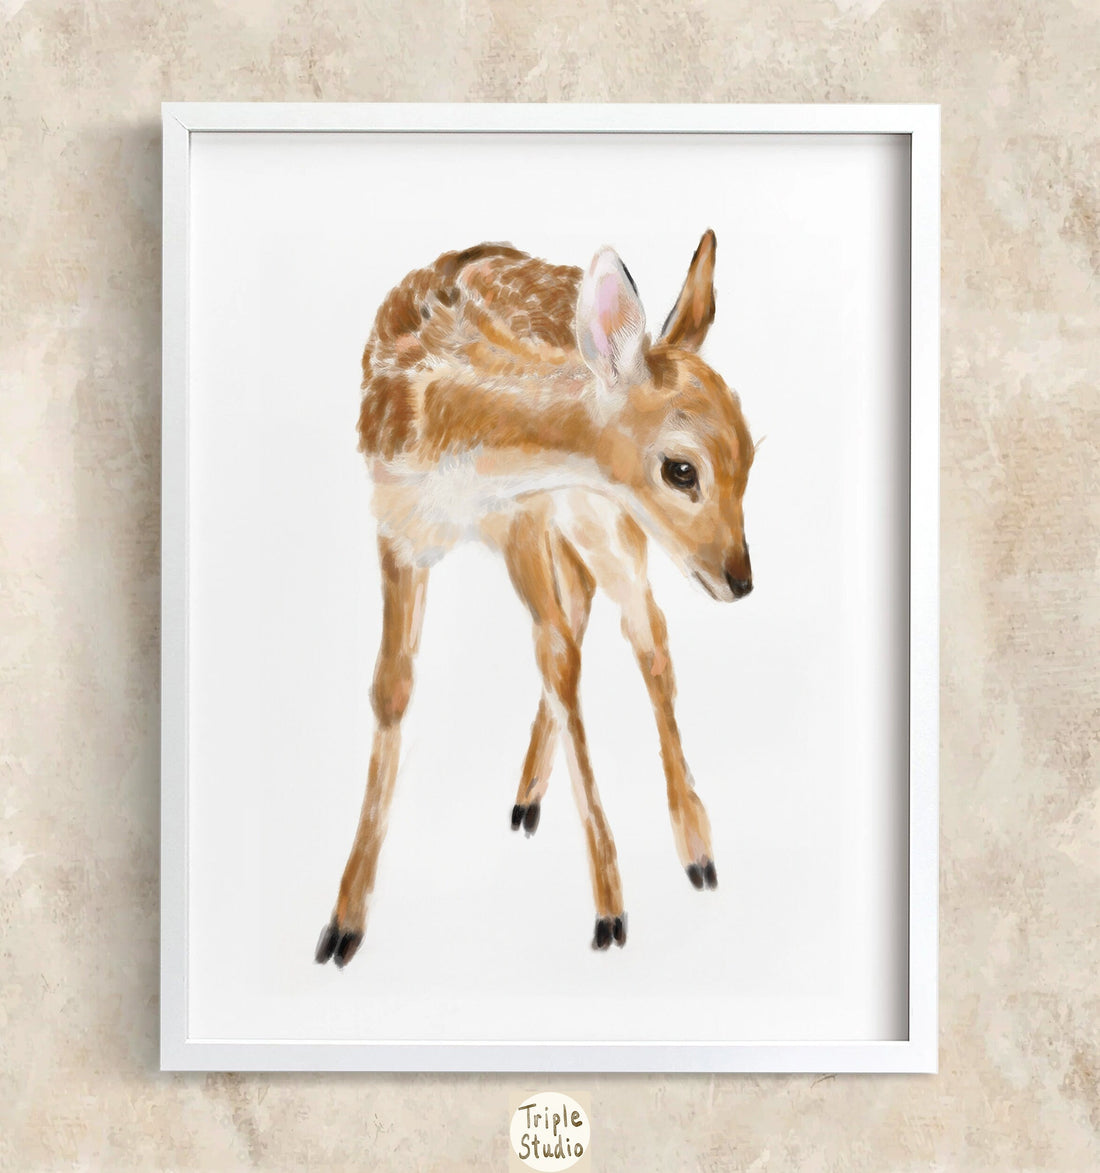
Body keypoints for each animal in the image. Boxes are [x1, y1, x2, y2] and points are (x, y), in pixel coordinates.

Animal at [315, 230, 755, 968]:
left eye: (751, 458)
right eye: (681, 469)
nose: (741, 578)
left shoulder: (527, 510)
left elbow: (562, 660)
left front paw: (611, 911)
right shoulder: (400, 526)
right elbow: (392, 687)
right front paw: (344, 921)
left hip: (599, 520)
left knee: (643, 634)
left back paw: (697, 851)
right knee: (584, 616)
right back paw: (528, 799)